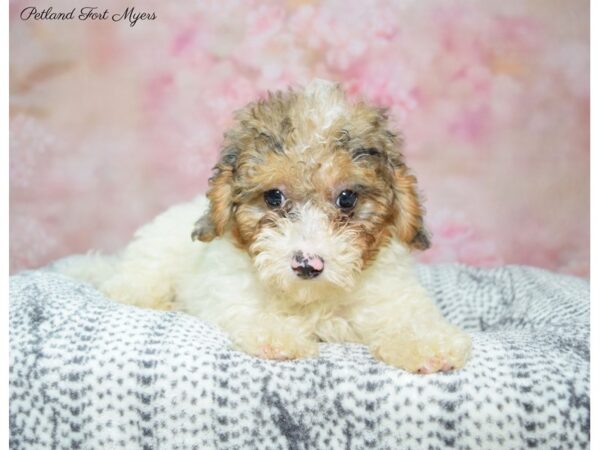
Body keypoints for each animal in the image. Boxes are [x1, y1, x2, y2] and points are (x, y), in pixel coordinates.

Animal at [61, 80, 474, 372]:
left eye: (347, 198)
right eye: (274, 197)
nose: (307, 263)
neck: (311, 300)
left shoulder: (391, 297)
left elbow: (409, 318)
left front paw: (428, 345)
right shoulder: (233, 294)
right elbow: (254, 313)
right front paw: (280, 336)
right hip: (150, 265)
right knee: (128, 287)